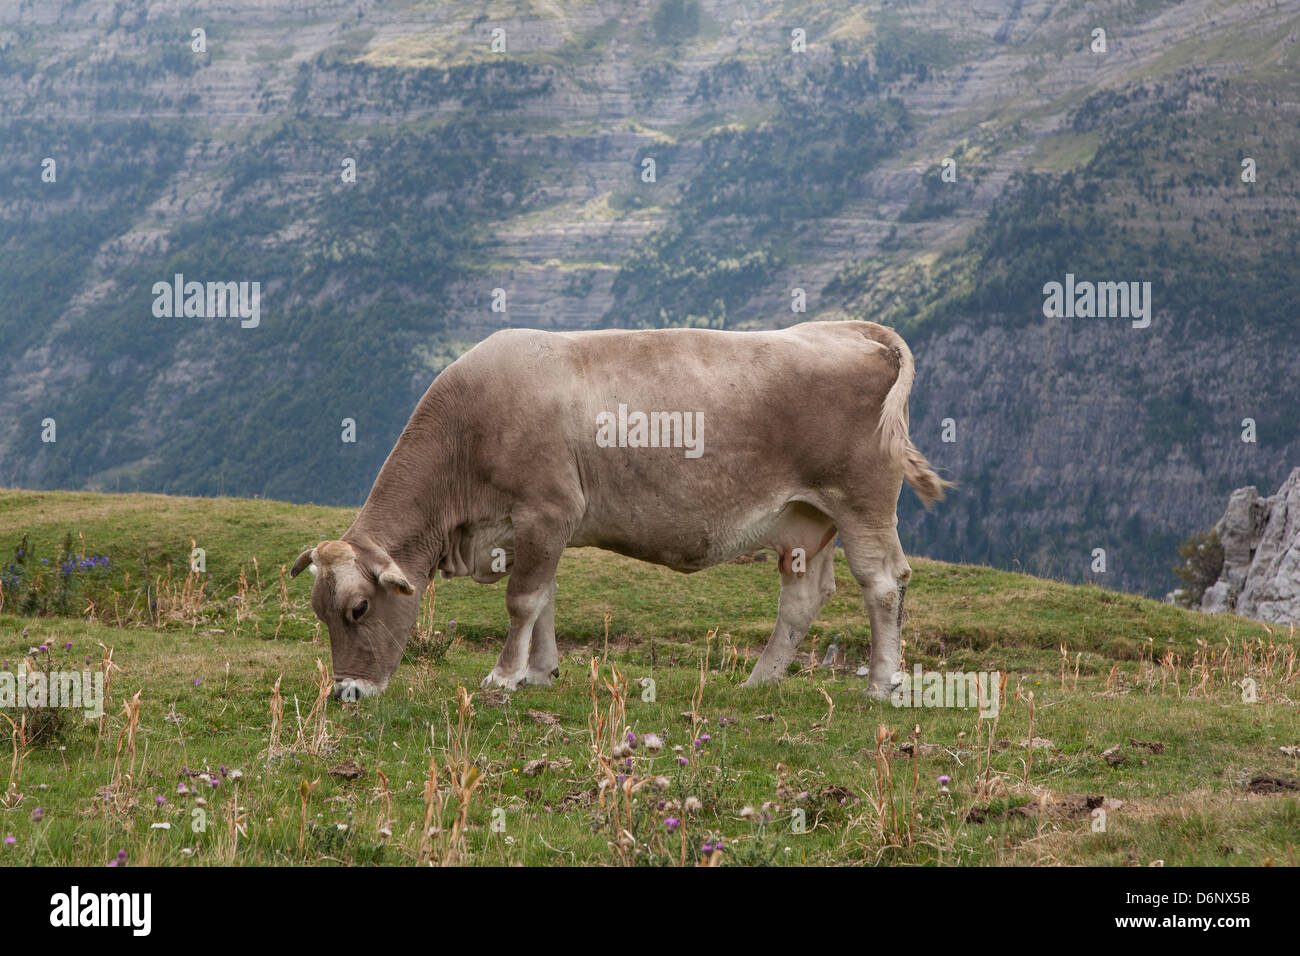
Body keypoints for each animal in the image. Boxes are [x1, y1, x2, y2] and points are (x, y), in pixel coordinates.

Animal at [291, 320, 949, 701]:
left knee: (883, 583)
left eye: (357, 608)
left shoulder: (547, 510)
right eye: (320, 612)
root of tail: (849, 330)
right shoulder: (538, 529)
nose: (346, 694)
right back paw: (761, 679)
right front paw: (541, 672)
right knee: (804, 594)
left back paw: (881, 683)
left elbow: (523, 600)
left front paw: (503, 677)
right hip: (804, 519)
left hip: (862, 502)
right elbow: (546, 599)